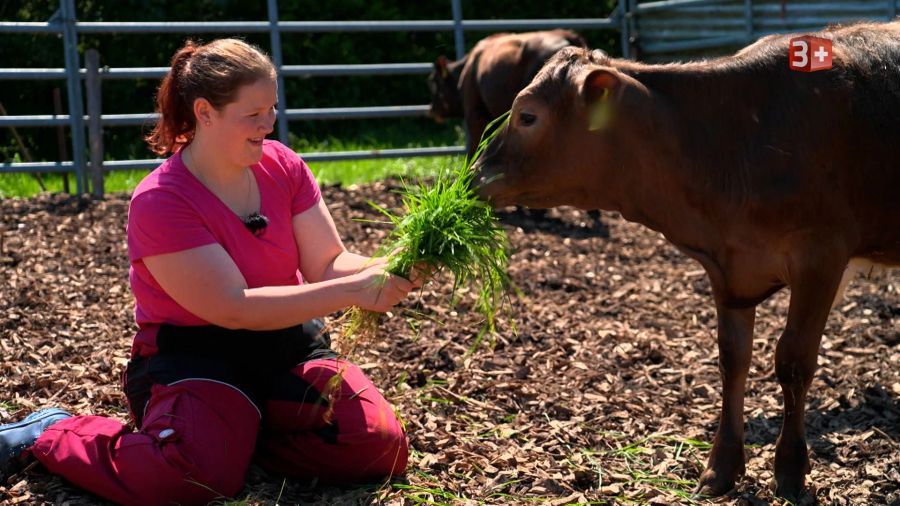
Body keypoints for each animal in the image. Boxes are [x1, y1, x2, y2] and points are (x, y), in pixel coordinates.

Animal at [472, 20, 900, 502]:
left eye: (527, 116)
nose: (474, 176)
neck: (735, 140)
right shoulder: (728, 272)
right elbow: (733, 360)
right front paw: (721, 467)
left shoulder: (821, 260)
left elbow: (793, 362)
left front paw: (791, 470)